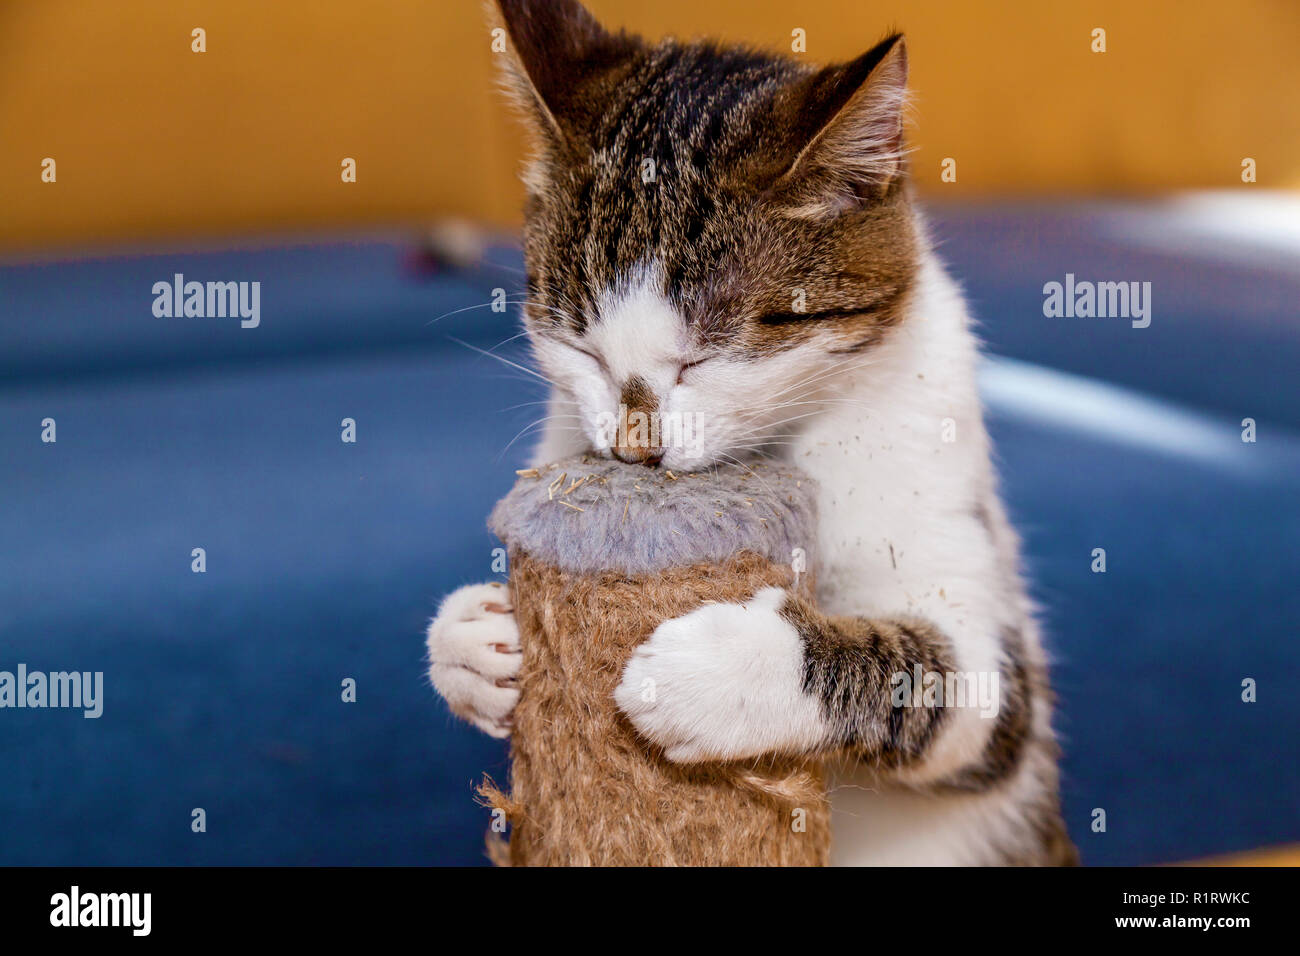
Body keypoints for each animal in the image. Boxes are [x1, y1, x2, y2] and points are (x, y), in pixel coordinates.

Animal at [426, 0, 1076, 868]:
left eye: (705, 353)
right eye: (581, 344)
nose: (636, 446)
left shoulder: (992, 656)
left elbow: (937, 677)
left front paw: (722, 670)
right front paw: (471, 639)